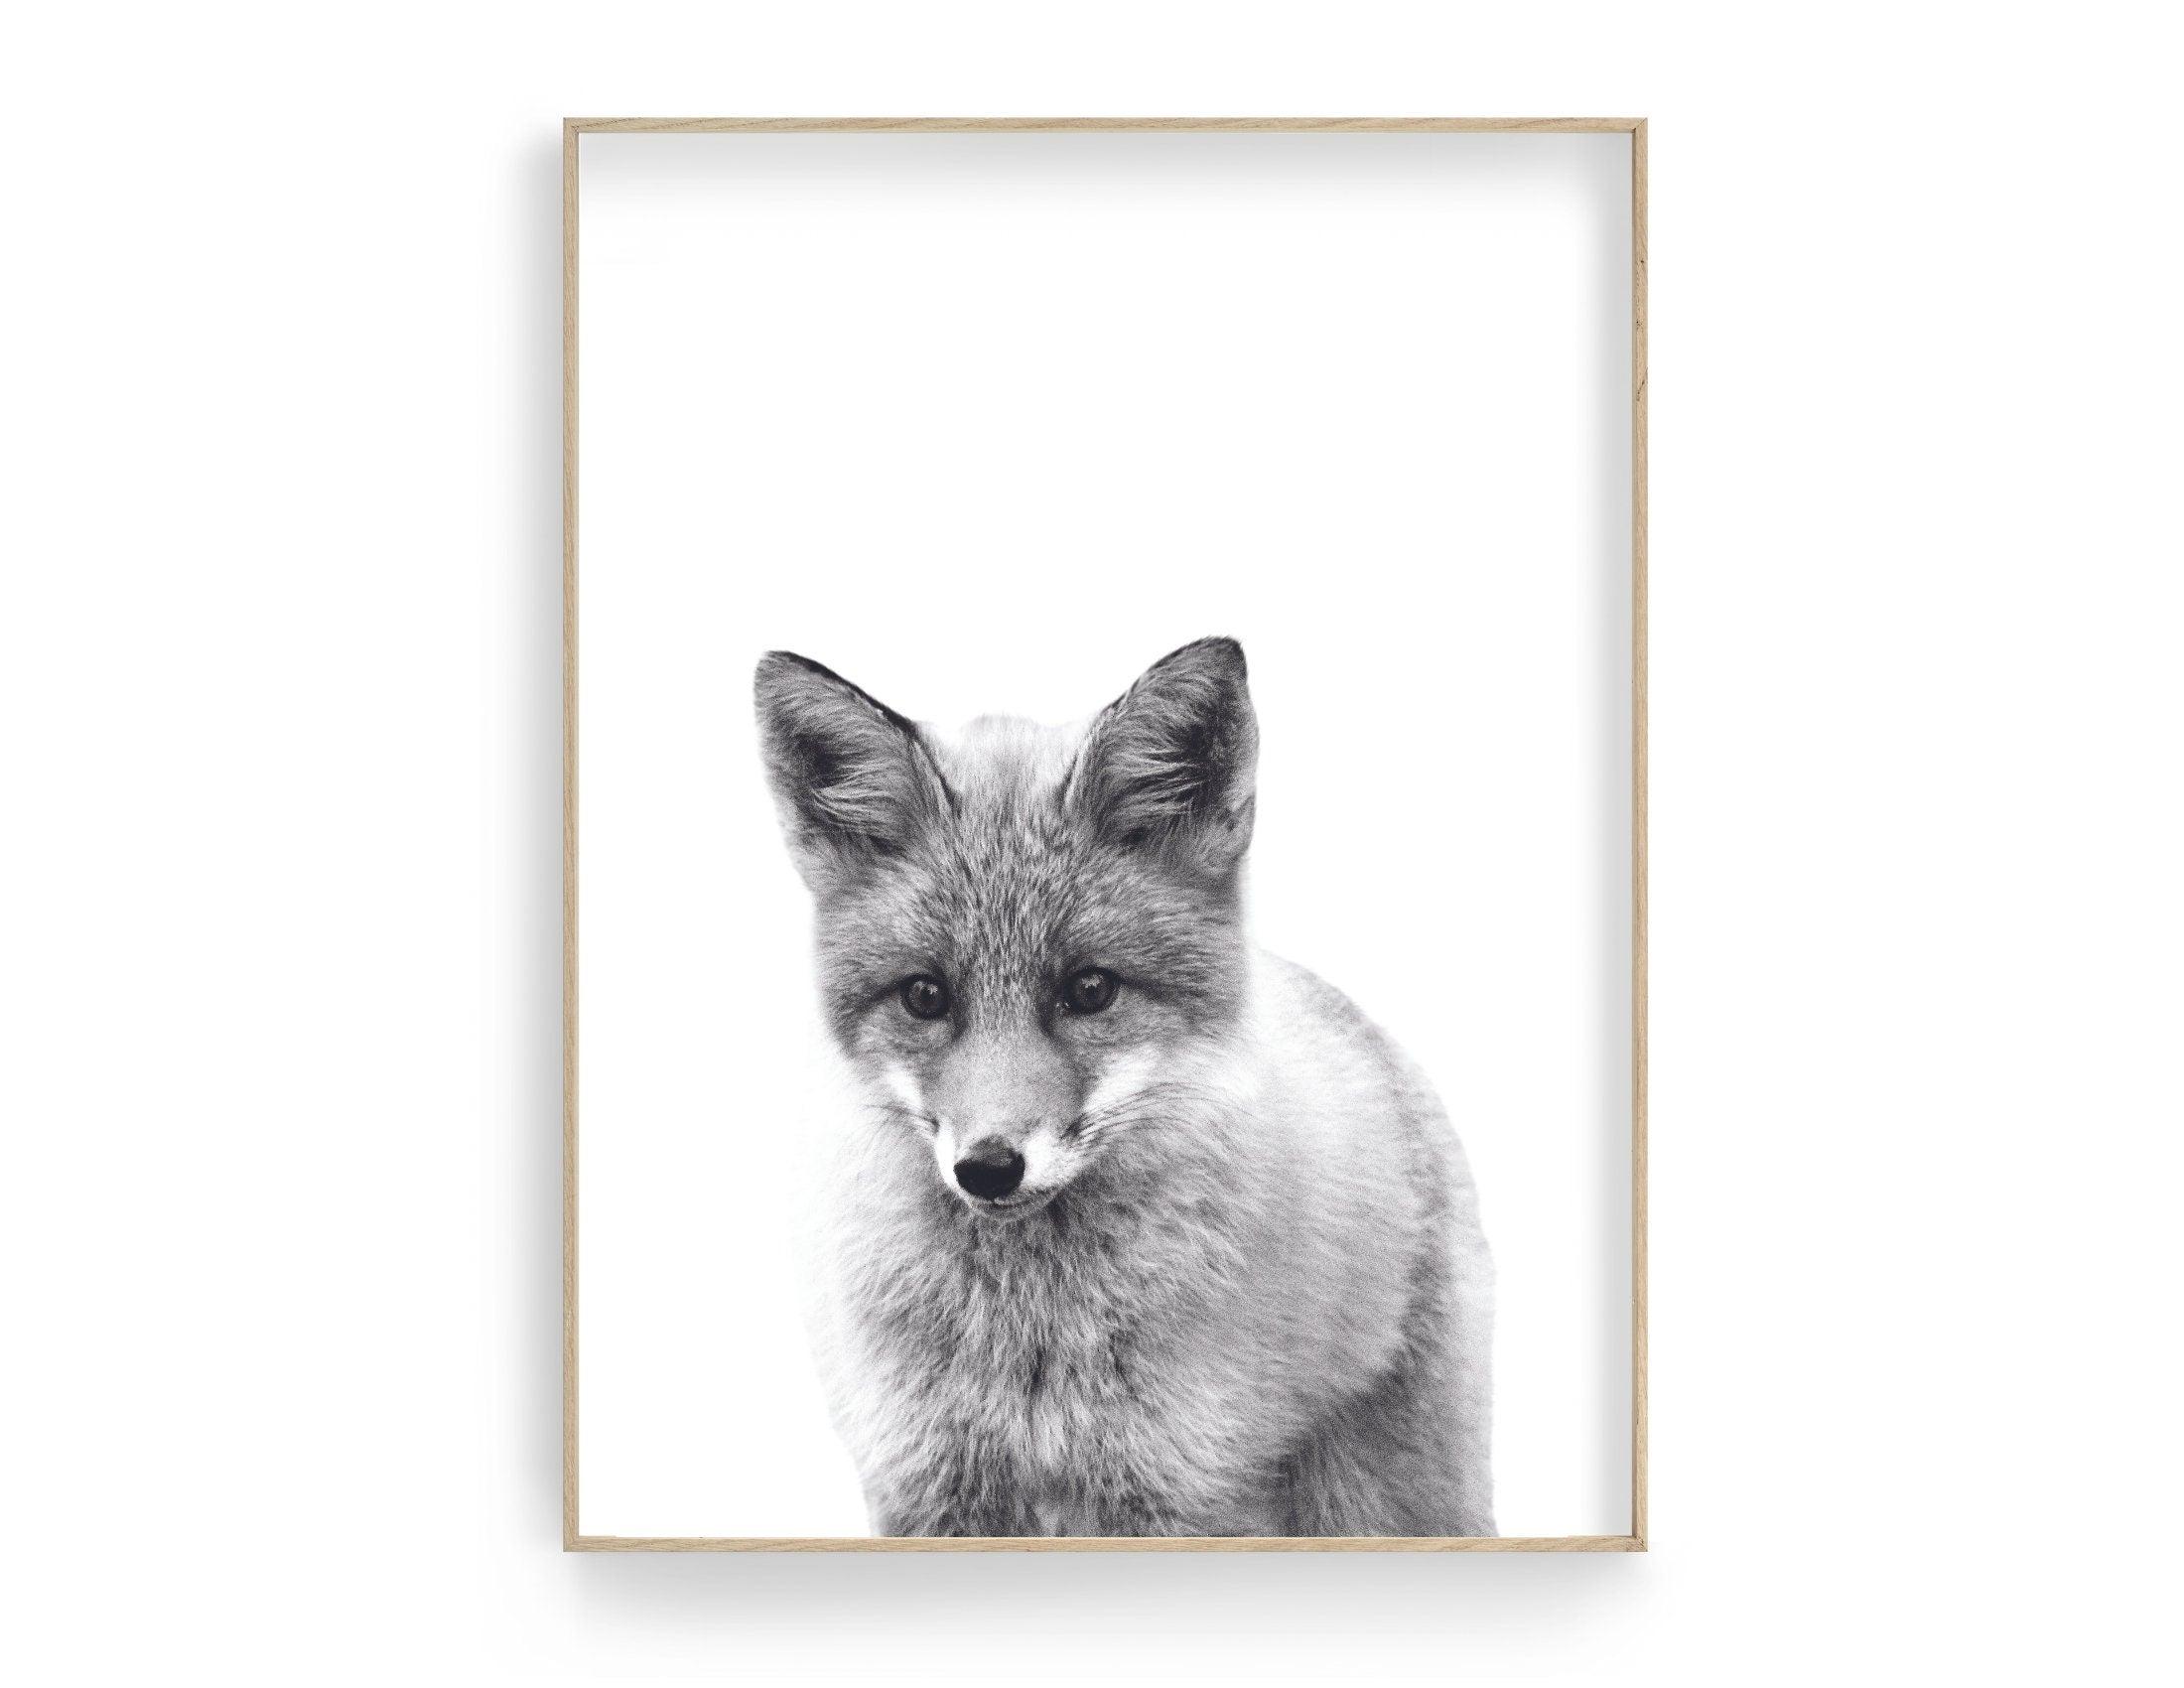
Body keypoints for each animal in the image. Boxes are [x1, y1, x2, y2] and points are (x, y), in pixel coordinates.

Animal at [754, 636, 1493, 1538]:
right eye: (925, 995)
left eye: (1090, 989)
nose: (989, 1167)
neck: (1031, 1335)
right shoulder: (929, 1489)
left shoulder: (1189, 1490)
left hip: (1389, 1499)